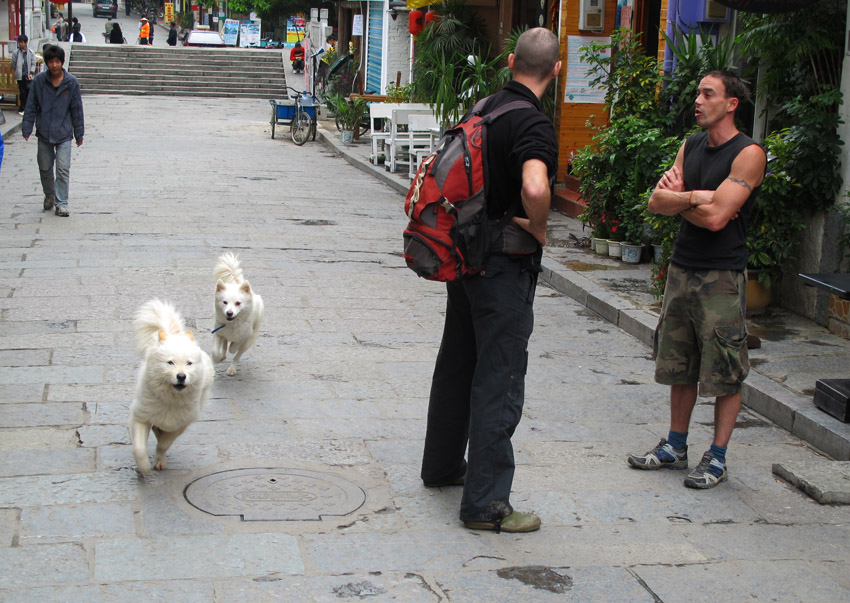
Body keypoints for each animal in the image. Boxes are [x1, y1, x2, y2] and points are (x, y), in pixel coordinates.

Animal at [131, 300, 215, 476]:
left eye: (189, 363)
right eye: (170, 362)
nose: (181, 376)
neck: (170, 400)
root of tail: (176, 335)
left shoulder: (181, 423)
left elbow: (164, 443)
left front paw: (159, 460)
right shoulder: (140, 415)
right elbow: (139, 448)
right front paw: (144, 467)